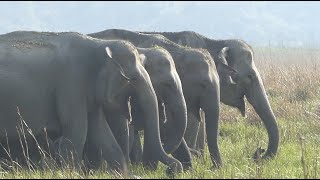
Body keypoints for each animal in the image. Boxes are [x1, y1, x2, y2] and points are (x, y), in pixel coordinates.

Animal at [0, 31, 182, 176]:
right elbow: (77, 132)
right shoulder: (71, 83)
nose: (172, 170)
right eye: (133, 79)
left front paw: (126, 175)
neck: (99, 44)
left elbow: (102, 133)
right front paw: (71, 174)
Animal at [141, 30, 278, 160]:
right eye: (250, 76)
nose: (260, 150)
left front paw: (200, 161)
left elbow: (200, 118)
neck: (215, 42)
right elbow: (192, 120)